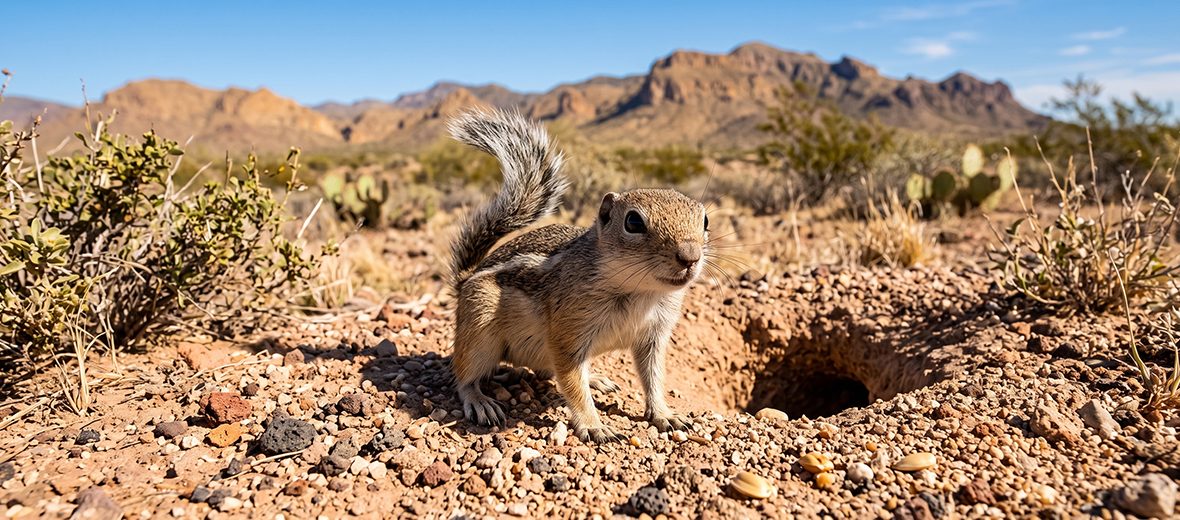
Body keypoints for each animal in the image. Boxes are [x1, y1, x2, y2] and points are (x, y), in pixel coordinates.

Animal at [446, 108, 709, 443]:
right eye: (633, 222)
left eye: (705, 220)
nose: (690, 256)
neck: (641, 292)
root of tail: (465, 279)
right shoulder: (568, 332)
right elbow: (572, 382)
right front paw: (594, 425)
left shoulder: (654, 336)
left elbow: (654, 377)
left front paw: (664, 414)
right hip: (479, 323)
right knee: (464, 375)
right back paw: (480, 401)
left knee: (547, 372)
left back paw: (596, 378)